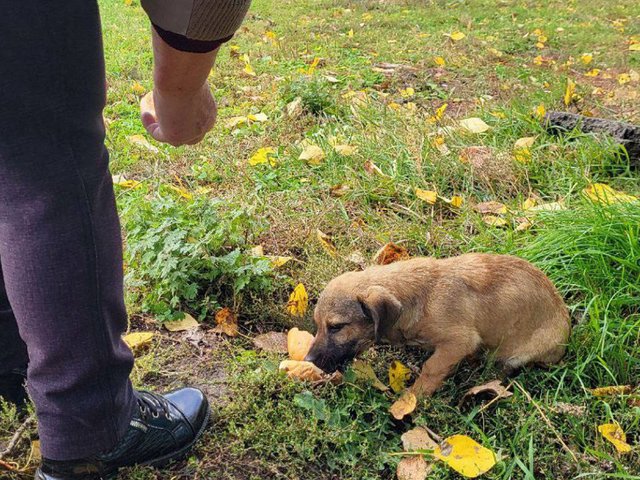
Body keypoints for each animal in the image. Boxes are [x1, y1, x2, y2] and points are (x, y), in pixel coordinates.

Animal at [304, 255, 568, 398]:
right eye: (317, 325)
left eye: (337, 326)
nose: (307, 360)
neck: (422, 298)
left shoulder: (459, 341)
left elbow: (431, 369)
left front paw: (410, 401)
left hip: (520, 354)